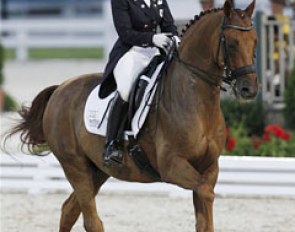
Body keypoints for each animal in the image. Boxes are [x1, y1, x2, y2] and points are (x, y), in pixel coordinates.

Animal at [4, 0, 260, 231]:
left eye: (255, 41)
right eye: (232, 43)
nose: (249, 89)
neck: (195, 100)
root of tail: (60, 89)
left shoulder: (209, 167)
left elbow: (204, 217)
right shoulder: (173, 166)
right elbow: (206, 193)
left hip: (98, 169)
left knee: (69, 210)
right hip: (74, 165)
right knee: (91, 220)